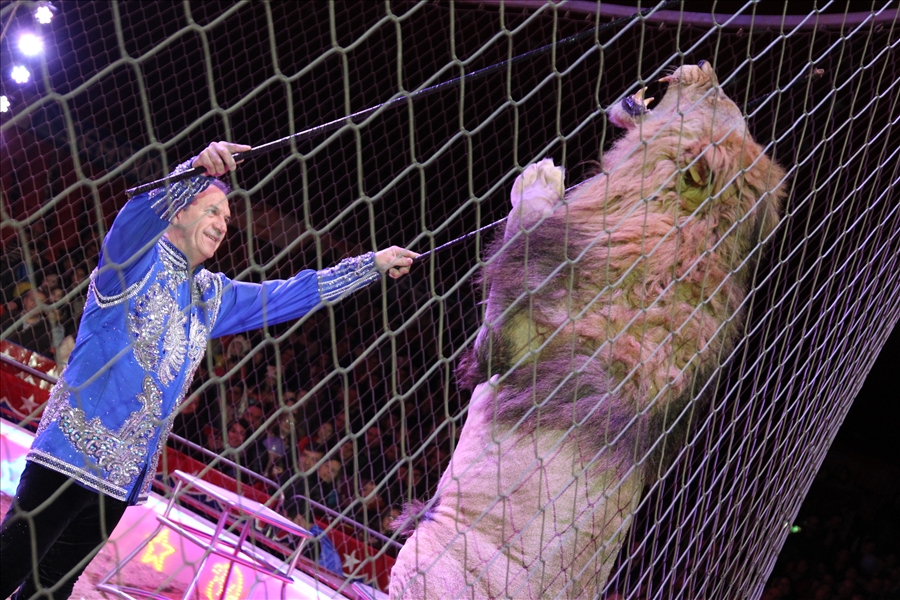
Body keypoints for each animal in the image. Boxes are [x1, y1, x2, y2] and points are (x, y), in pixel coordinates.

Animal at [389, 61, 787, 599]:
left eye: (713, 99)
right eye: (727, 99)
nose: (703, 66)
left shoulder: (509, 337)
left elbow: (515, 249)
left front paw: (539, 182)